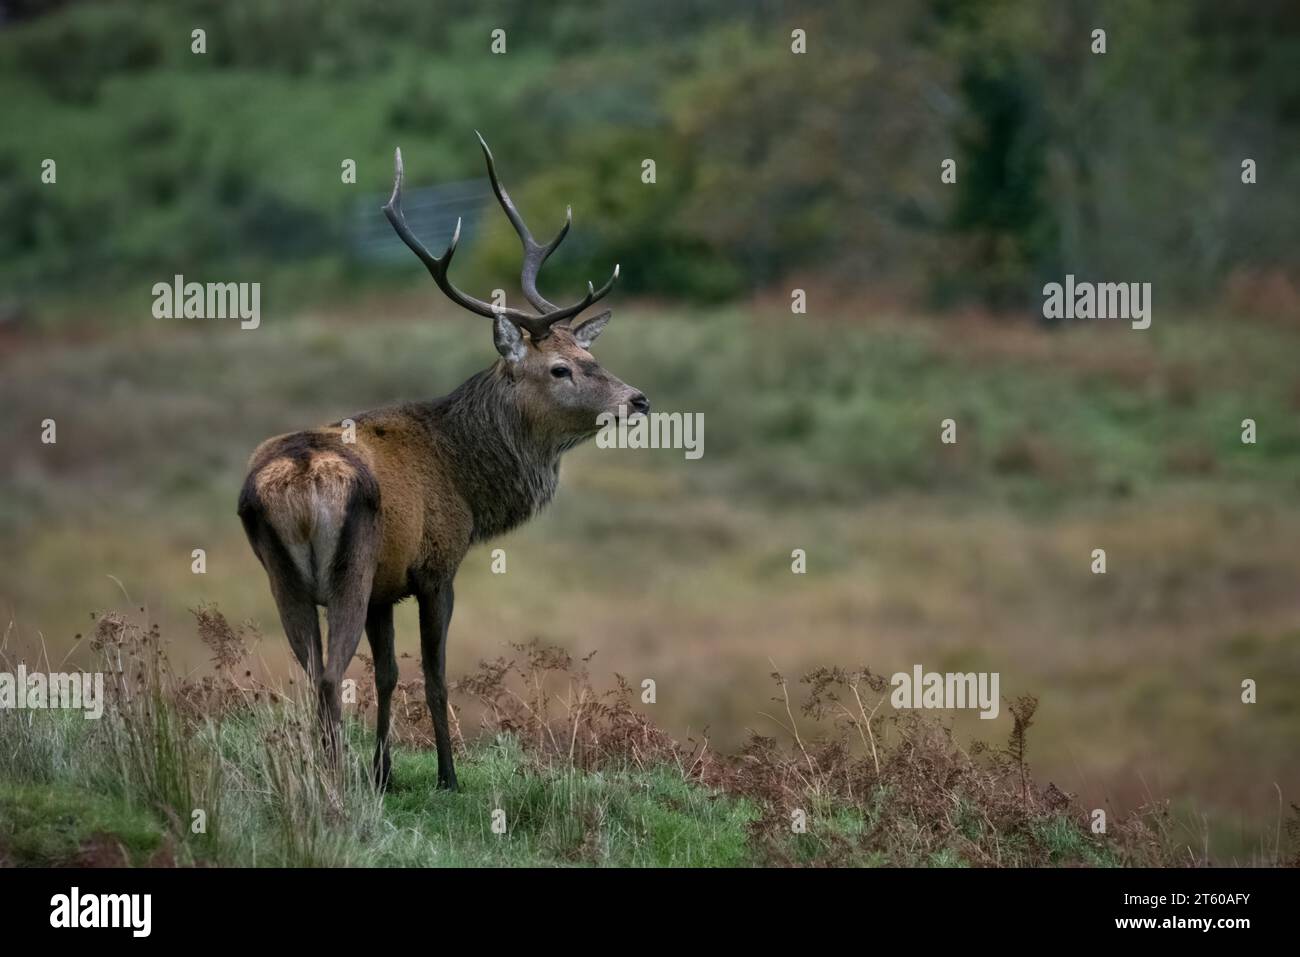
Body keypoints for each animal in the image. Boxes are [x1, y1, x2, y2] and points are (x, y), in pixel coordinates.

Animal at [237, 134, 648, 791]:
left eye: (591, 355)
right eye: (560, 368)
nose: (638, 399)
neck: (467, 484)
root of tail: (299, 476)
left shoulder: (385, 587)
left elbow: (386, 675)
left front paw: (384, 771)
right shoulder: (434, 567)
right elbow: (432, 677)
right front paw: (446, 776)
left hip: (283, 574)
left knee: (309, 670)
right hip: (349, 566)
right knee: (329, 674)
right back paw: (336, 780)